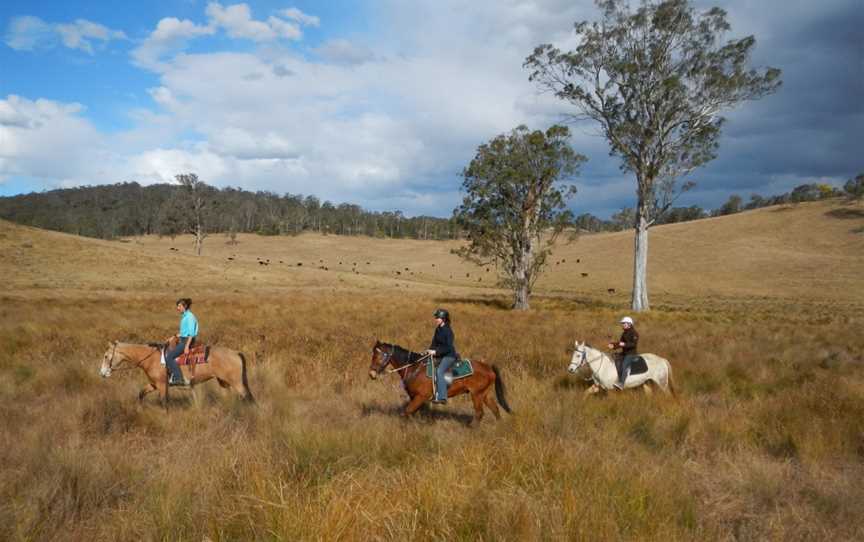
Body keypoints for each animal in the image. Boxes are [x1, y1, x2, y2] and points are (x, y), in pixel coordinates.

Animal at [99, 340, 253, 408]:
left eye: (106, 356)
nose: (102, 373)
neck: (151, 359)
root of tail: (236, 353)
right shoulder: (154, 384)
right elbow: (141, 394)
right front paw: (140, 408)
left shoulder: (162, 385)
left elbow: (164, 402)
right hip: (223, 382)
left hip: (237, 383)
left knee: (246, 397)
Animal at [366, 340, 512, 424]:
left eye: (380, 355)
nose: (371, 374)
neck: (414, 367)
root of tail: (488, 367)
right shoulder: (414, 397)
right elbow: (413, 413)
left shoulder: (421, 397)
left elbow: (407, 412)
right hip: (485, 394)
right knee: (495, 409)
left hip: (476, 394)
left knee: (479, 413)